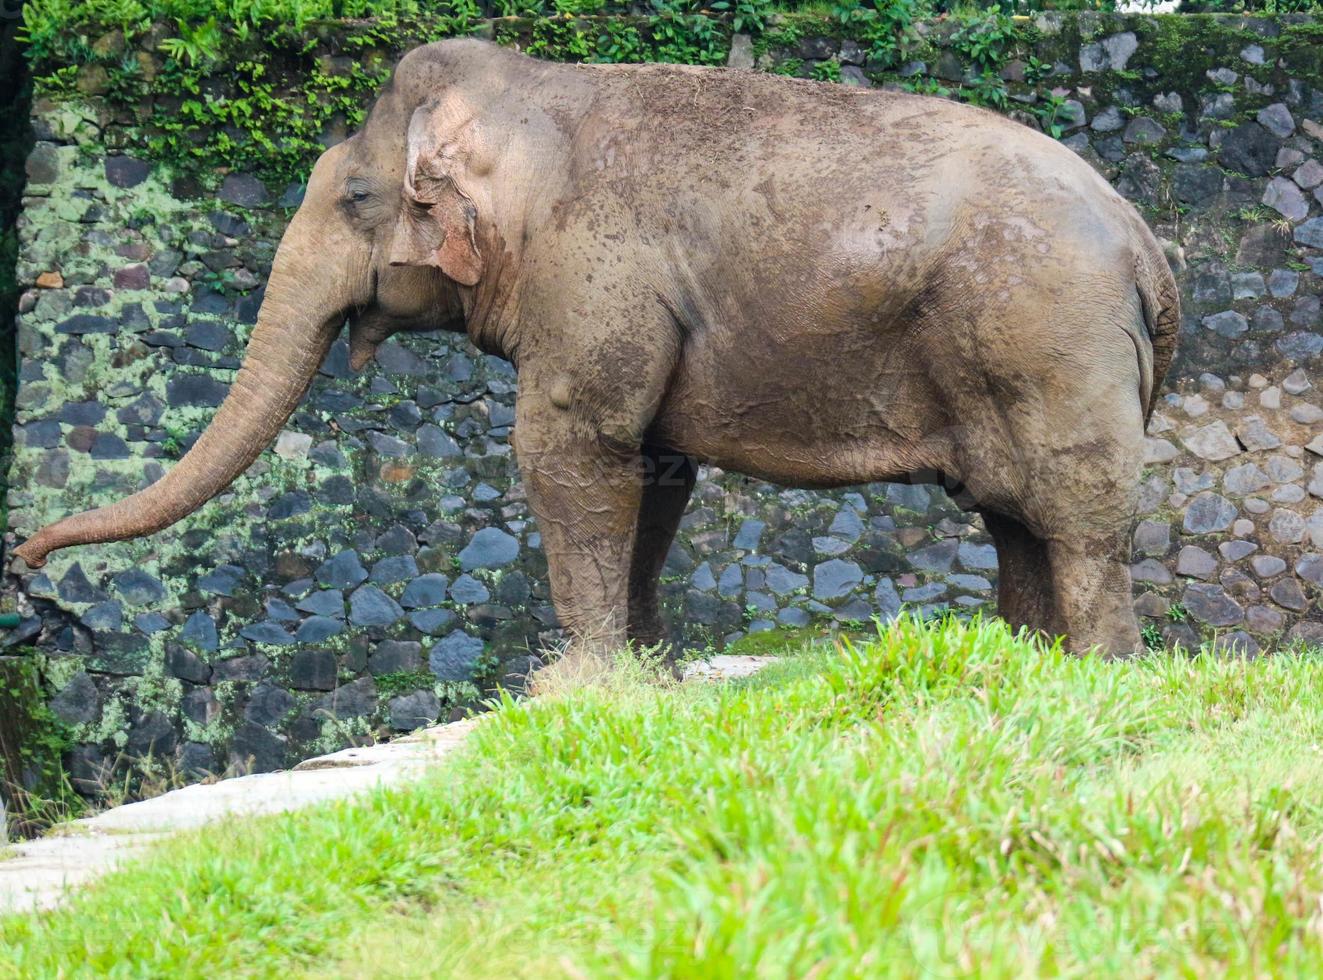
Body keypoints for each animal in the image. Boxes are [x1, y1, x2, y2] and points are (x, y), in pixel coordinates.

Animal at [15, 41, 1180, 661]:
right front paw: (646, 674)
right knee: (1012, 512)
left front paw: (572, 683)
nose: (23, 563)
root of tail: (1143, 240)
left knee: (1071, 510)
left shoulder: (593, 274)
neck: (531, 101)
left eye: (353, 198)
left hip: (1046, 336)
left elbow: (570, 450)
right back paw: (1030, 664)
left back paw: (1104, 672)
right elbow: (653, 470)